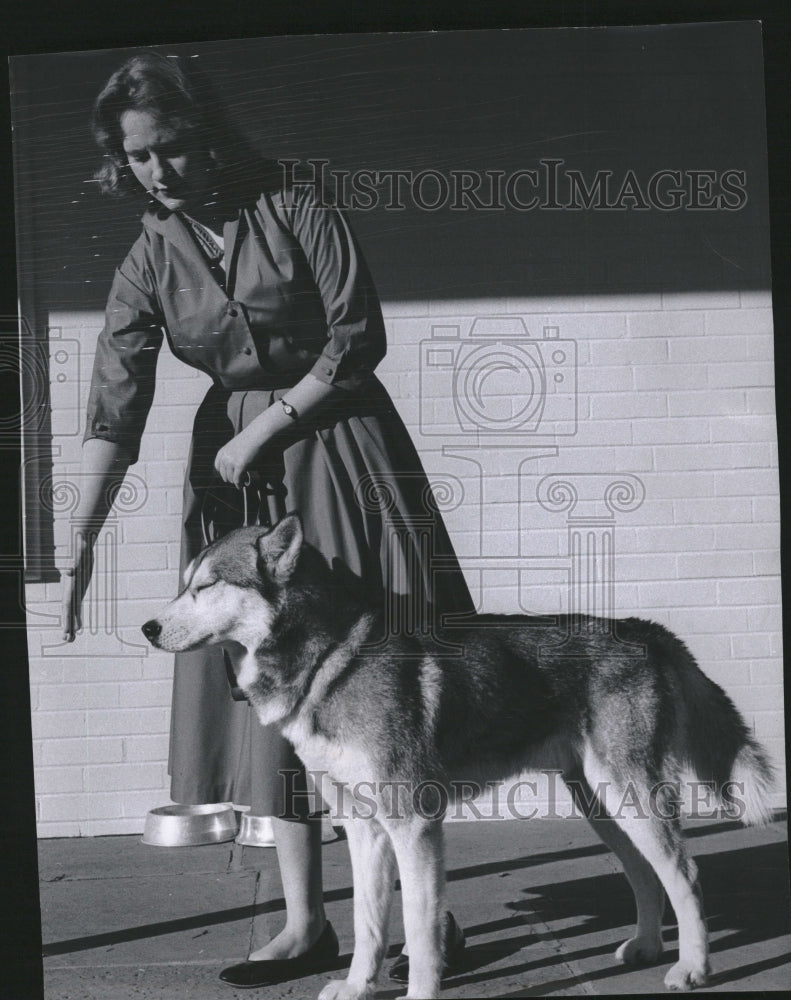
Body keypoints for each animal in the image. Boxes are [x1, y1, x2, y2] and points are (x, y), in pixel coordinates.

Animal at [142, 512, 772, 996]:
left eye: (205, 587)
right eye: (184, 583)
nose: (147, 627)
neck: (330, 660)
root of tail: (643, 629)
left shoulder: (413, 825)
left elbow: (420, 933)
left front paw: (420, 992)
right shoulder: (364, 827)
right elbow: (367, 926)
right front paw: (357, 987)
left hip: (629, 798)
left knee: (685, 874)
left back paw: (693, 968)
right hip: (604, 806)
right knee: (646, 875)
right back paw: (645, 946)